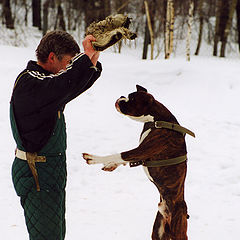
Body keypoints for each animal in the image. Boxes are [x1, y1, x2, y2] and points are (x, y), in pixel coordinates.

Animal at [82, 85, 195, 239]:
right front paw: (110, 165)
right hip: (159, 230)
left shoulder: (141, 151)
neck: (156, 120)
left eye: (132, 99)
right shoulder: (139, 154)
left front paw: (93, 158)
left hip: (177, 230)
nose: (121, 97)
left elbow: (119, 155)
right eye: (128, 95)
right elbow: (121, 159)